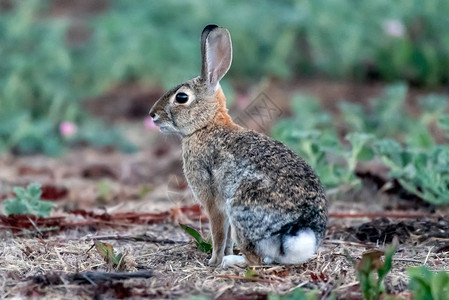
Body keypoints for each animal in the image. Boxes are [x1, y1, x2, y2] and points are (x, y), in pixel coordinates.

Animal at [149, 24, 328, 268]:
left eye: (182, 97)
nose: (153, 114)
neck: (207, 125)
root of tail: (300, 230)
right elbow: (224, 239)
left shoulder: (214, 203)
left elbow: (218, 234)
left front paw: (213, 261)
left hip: (241, 209)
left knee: (256, 260)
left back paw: (230, 261)